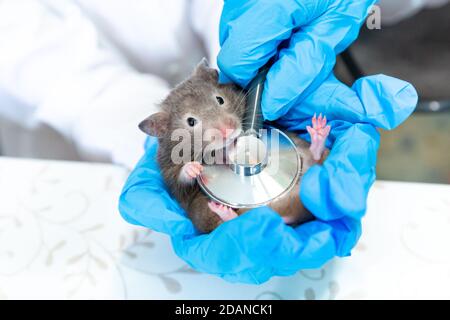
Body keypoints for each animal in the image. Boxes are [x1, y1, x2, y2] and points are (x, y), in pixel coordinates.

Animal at [139, 58, 328, 232]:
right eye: (191, 121)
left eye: (220, 99)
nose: (228, 130)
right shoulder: (171, 175)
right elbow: (181, 176)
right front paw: (195, 168)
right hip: (202, 212)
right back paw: (223, 211)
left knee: (316, 157)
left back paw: (319, 131)